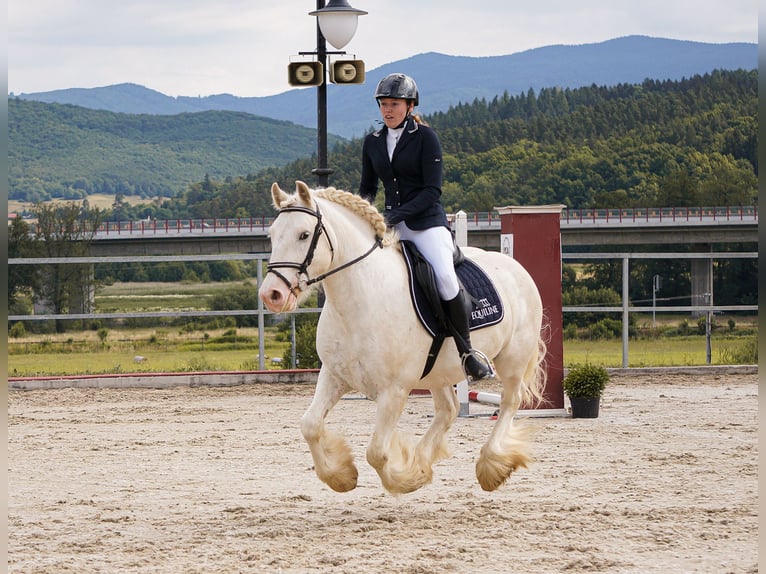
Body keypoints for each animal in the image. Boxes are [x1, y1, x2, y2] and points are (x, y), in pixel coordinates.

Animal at [260, 182, 548, 498]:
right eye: (272, 234)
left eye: (303, 234)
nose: (272, 295)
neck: (358, 299)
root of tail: (513, 264)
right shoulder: (334, 375)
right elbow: (310, 425)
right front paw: (343, 477)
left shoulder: (394, 390)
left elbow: (376, 452)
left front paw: (404, 480)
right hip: (439, 371)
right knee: (448, 410)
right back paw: (422, 462)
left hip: (513, 359)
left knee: (510, 401)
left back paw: (490, 467)